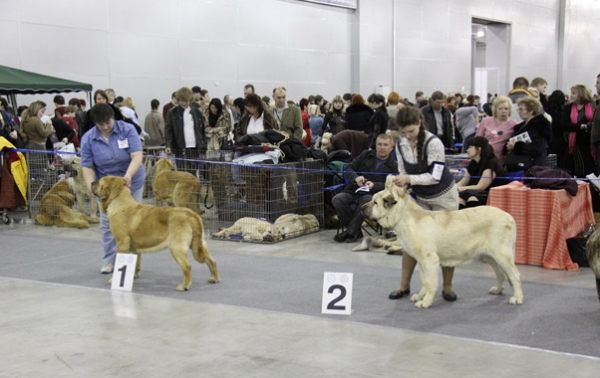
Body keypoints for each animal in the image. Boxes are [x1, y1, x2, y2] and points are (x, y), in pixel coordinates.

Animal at [360, 176, 524, 308]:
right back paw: (498, 289)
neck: (403, 216)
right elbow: (424, 280)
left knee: (515, 275)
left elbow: (431, 282)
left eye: (375, 202)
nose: (361, 208)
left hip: (502, 254)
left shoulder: (429, 260)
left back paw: (517, 298)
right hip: (490, 256)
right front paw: (420, 296)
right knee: (501, 273)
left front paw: (426, 302)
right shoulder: (421, 261)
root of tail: (509, 217)